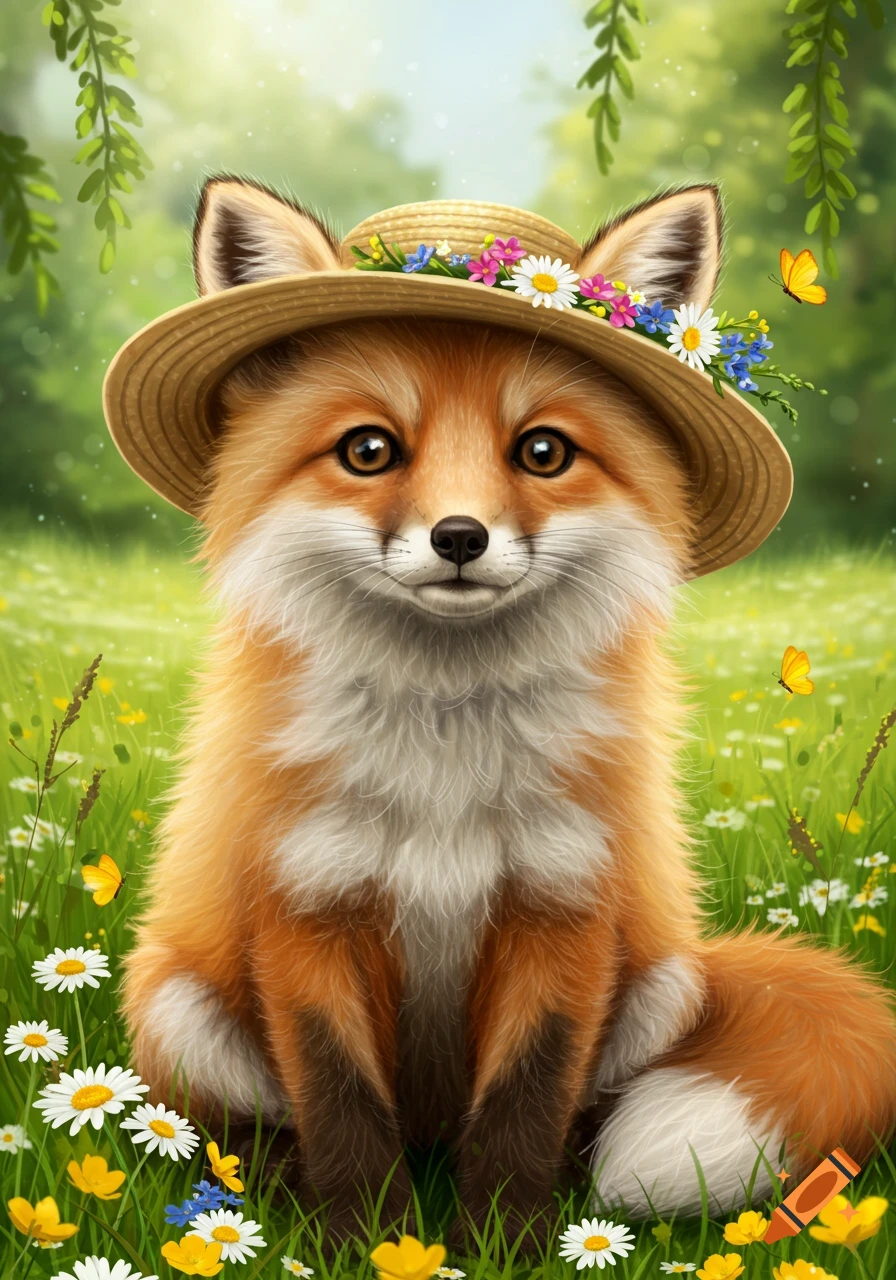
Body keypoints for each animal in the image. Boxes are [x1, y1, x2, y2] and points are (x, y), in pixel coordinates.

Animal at [122, 176, 896, 1238]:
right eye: (369, 450)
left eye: (542, 451)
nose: (460, 537)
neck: (443, 757)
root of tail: (429, 1132)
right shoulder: (305, 907)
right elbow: (339, 1097)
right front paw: (367, 1239)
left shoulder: (564, 905)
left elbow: (528, 1095)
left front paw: (509, 1238)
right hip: (175, 1002)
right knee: (233, 1128)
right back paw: (267, 1189)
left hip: (661, 984)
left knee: (583, 1111)